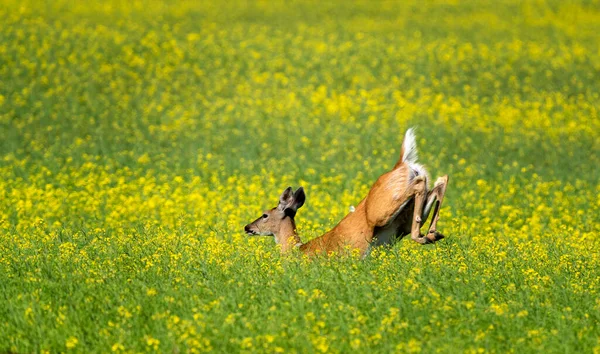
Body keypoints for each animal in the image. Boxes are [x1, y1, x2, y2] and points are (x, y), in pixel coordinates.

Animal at [243, 129, 446, 256]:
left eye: (265, 215)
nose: (247, 227)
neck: (298, 250)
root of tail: (400, 163)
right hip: (402, 220)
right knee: (439, 182)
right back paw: (432, 234)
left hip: (382, 210)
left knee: (421, 183)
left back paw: (424, 236)